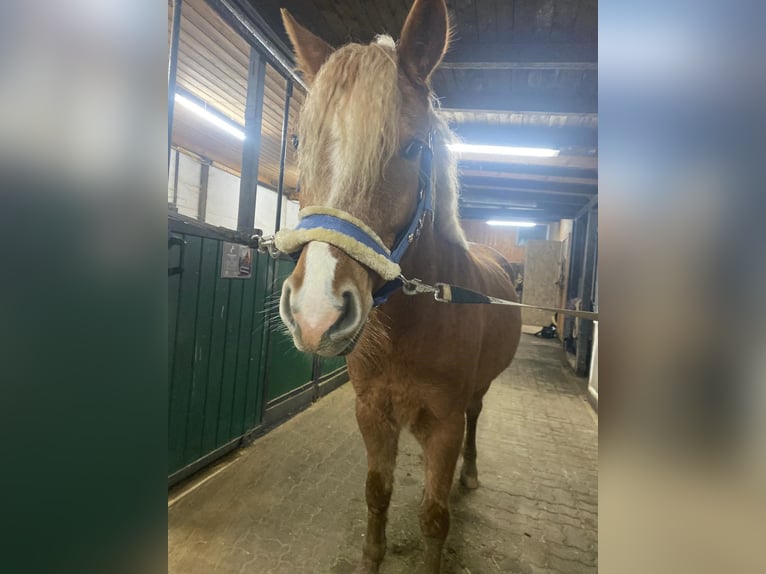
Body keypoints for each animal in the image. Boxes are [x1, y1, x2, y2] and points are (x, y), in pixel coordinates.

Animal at [276, 2, 520, 572]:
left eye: (411, 147)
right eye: (299, 142)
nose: (316, 314)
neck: (416, 324)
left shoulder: (445, 422)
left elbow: (433, 517)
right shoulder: (372, 412)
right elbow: (377, 494)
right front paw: (372, 556)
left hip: (476, 396)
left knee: (477, 419)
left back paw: (469, 475)